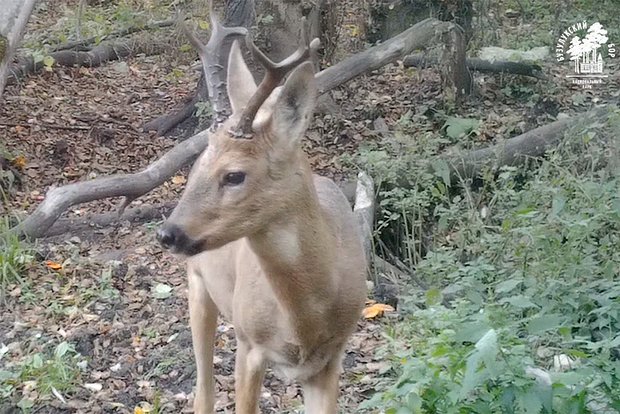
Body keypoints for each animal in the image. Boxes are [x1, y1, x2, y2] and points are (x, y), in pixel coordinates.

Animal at [156, 23, 368, 414]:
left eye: (234, 175)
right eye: (201, 165)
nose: (167, 233)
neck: (305, 319)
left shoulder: (331, 358)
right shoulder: (249, 343)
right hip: (198, 284)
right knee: (203, 389)